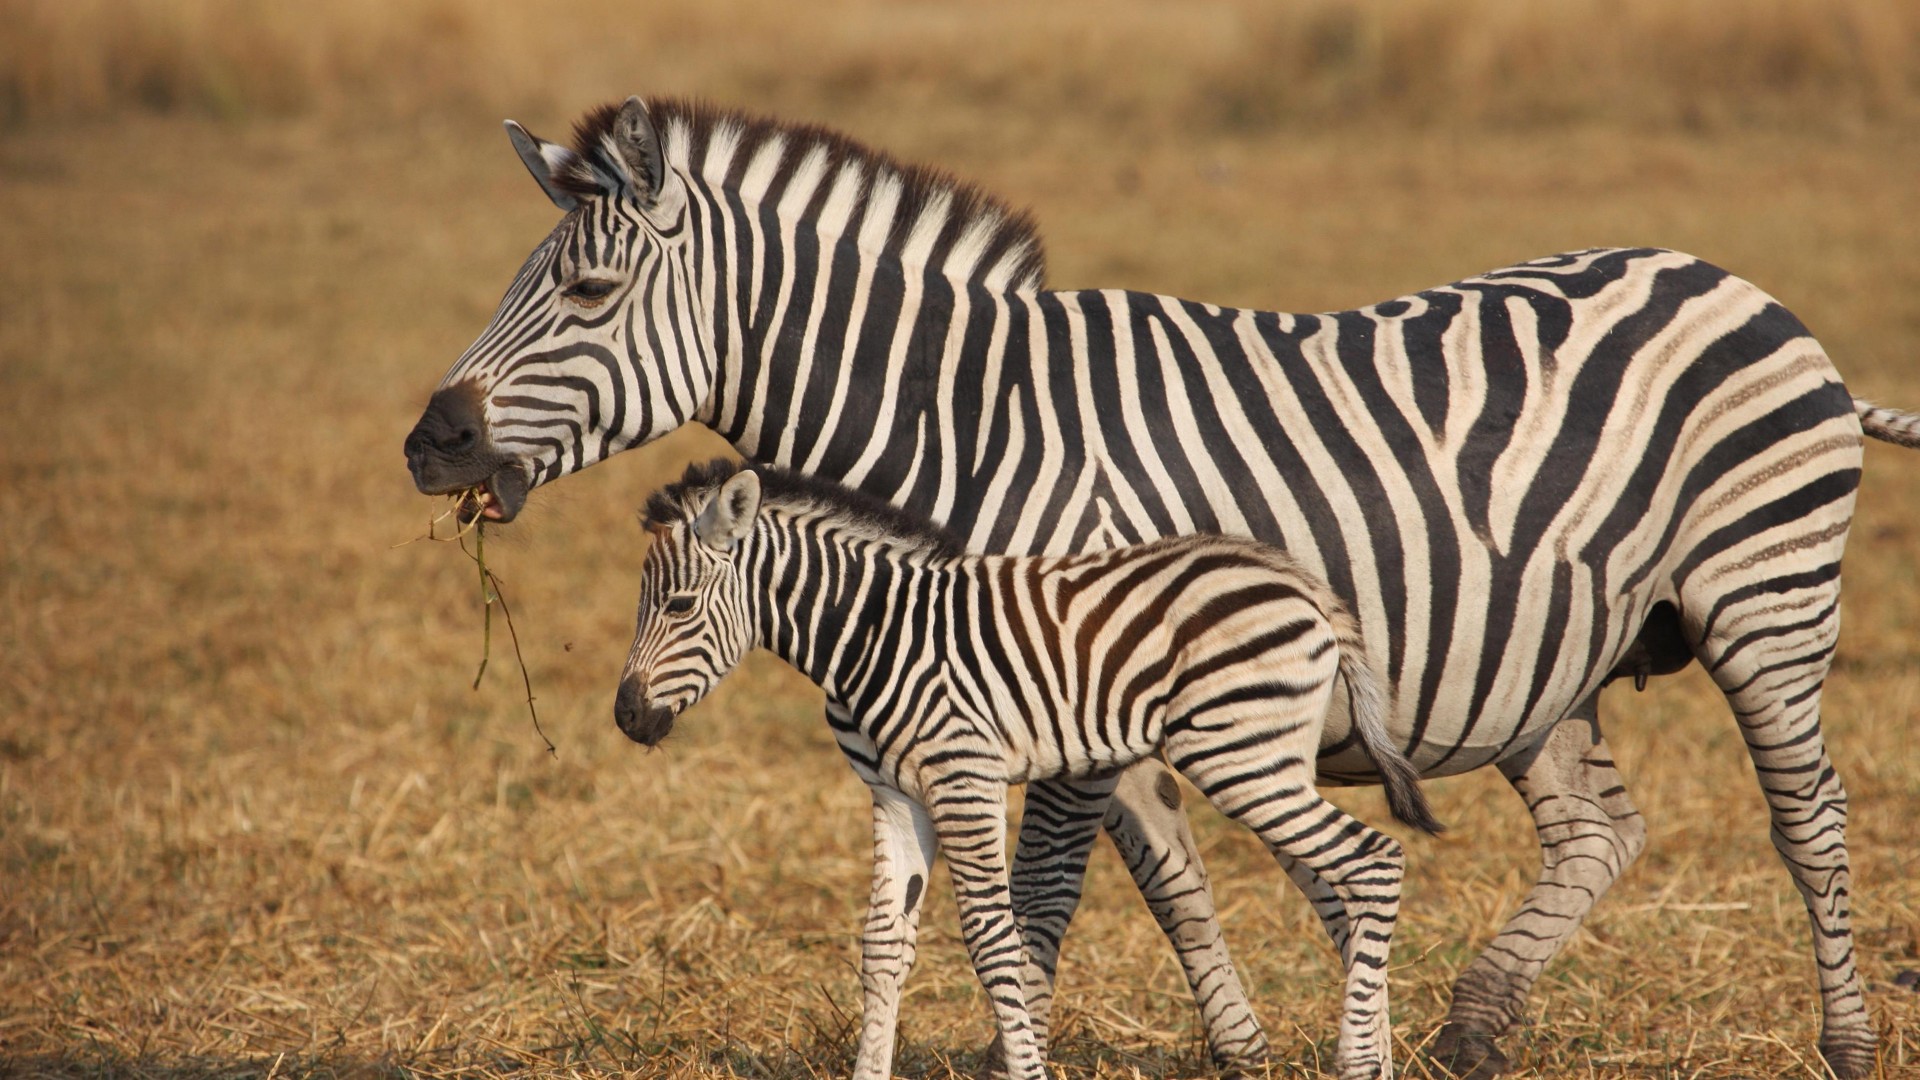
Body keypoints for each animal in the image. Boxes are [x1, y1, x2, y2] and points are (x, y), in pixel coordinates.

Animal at [617, 459, 1443, 1080]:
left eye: (680, 605)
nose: (626, 717)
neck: (875, 631)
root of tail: (1307, 587)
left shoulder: (964, 777)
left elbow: (993, 937)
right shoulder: (894, 794)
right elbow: (884, 944)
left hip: (1241, 755)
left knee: (1375, 861)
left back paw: (1357, 1062)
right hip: (1268, 757)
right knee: (1349, 884)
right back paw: (1374, 1055)